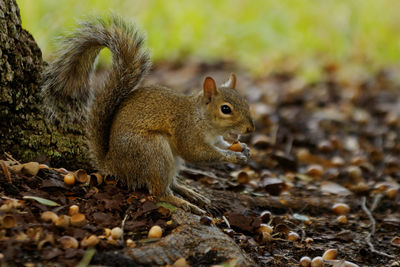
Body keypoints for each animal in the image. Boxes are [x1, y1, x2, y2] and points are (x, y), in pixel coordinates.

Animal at [39, 15, 253, 216]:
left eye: (245, 102)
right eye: (226, 109)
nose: (250, 129)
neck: (201, 118)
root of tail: (112, 164)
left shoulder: (214, 138)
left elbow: (220, 144)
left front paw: (243, 148)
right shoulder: (186, 131)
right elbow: (198, 153)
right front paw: (233, 156)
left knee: (171, 183)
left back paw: (191, 193)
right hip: (153, 152)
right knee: (159, 191)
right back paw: (183, 202)